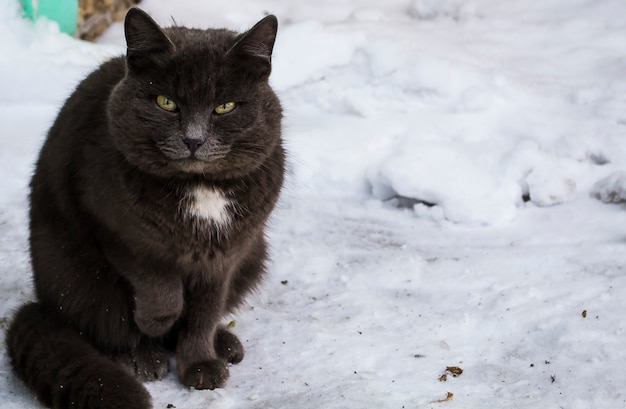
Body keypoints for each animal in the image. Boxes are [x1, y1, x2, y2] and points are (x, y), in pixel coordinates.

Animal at [4, 7, 282, 408]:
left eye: (224, 107)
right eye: (166, 102)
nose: (193, 139)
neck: (200, 188)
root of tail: (41, 303)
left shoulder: (226, 254)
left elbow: (205, 312)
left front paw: (200, 364)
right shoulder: (115, 229)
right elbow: (158, 284)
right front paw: (157, 321)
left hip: (254, 258)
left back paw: (224, 343)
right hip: (77, 277)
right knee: (105, 327)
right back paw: (143, 357)